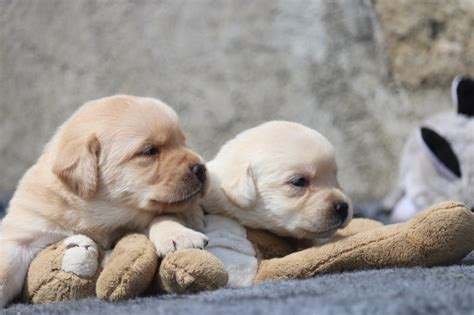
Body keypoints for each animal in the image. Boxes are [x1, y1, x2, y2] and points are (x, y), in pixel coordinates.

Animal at [0, 95, 207, 308]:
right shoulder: (25, 230)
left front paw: (179, 235)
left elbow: (164, 215)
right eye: (149, 151)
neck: (102, 214)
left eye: (183, 142)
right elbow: (6, 266)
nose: (201, 168)